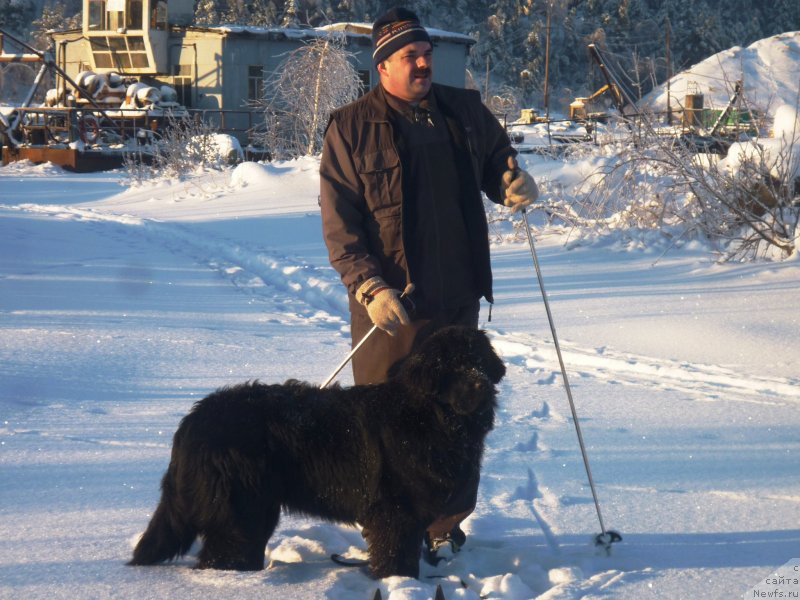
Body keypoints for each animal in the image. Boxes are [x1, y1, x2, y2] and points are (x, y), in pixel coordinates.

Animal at [131, 326, 506, 580]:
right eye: (452, 366)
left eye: (479, 361)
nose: (481, 385)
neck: (431, 417)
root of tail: (194, 418)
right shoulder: (396, 512)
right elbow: (396, 554)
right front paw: (399, 583)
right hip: (240, 509)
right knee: (225, 551)